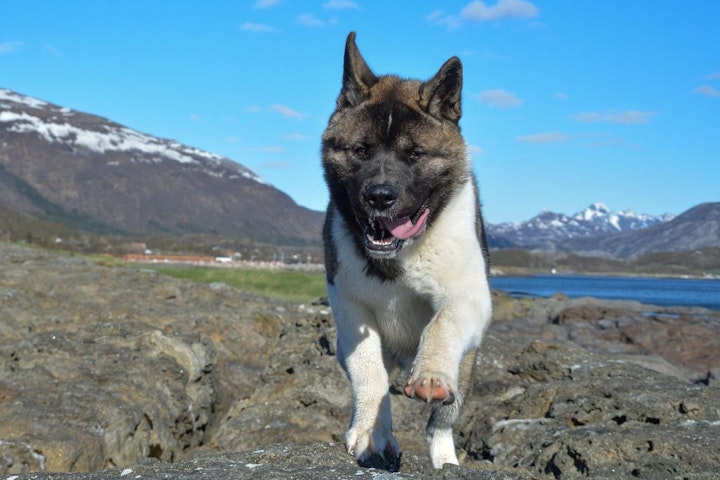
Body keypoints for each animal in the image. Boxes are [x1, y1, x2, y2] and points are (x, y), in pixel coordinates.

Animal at [322, 31, 496, 466]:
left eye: (415, 154)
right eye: (360, 150)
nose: (380, 197)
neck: (401, 252)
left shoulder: (468, 296)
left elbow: (442, 322)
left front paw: (431, 373)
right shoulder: (351, 311)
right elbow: (369, 372)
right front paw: (372, 432)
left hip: (467, 369)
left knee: (440, 424)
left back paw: (446, 459)